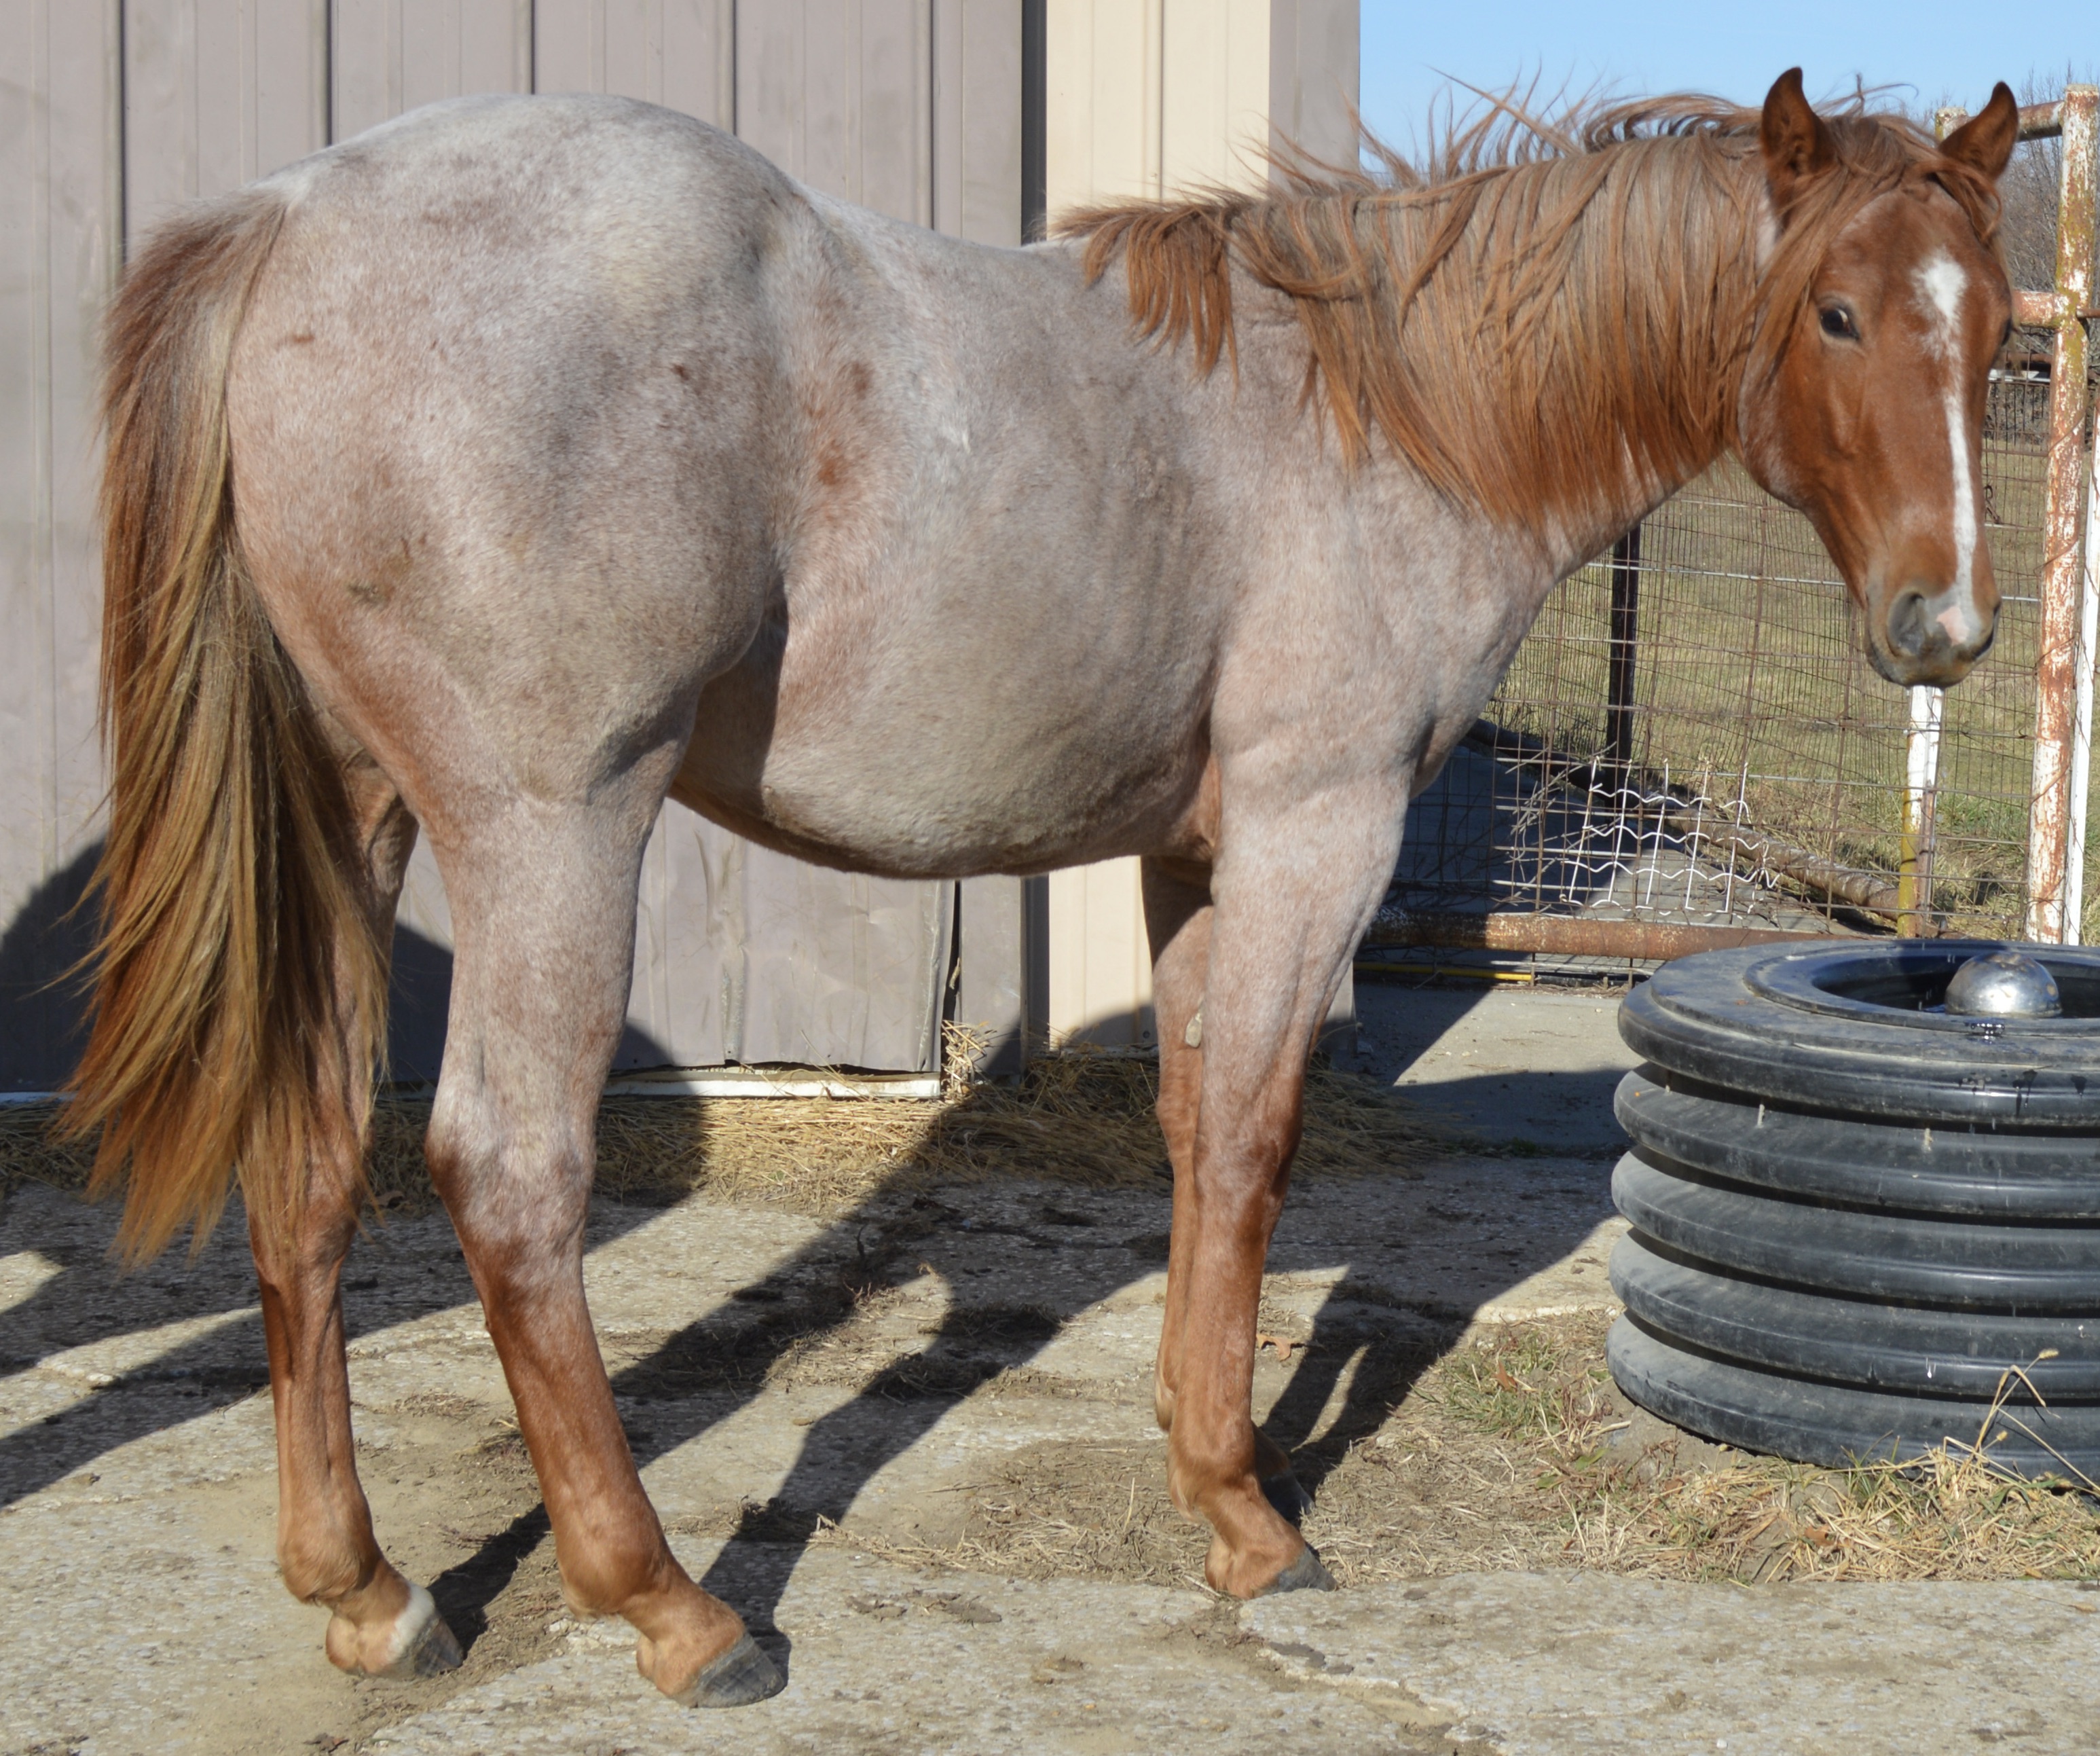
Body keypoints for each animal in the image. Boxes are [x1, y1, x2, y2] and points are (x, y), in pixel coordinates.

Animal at [66, 68, 2017, 1707]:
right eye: (1837, 313)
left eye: (1995, 325)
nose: (1946, 626)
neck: (1379, 416)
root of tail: (295, 214)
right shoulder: (1315, 829)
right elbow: (1254, 1139)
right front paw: (1250, 1521)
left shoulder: (1189, 854)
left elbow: (1194, 1136)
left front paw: (1205, 1461)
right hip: (553, 829)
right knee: (506, 1170)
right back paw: (674, 1610)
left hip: (358, 815)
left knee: (310, 1154)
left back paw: (367, 1589)